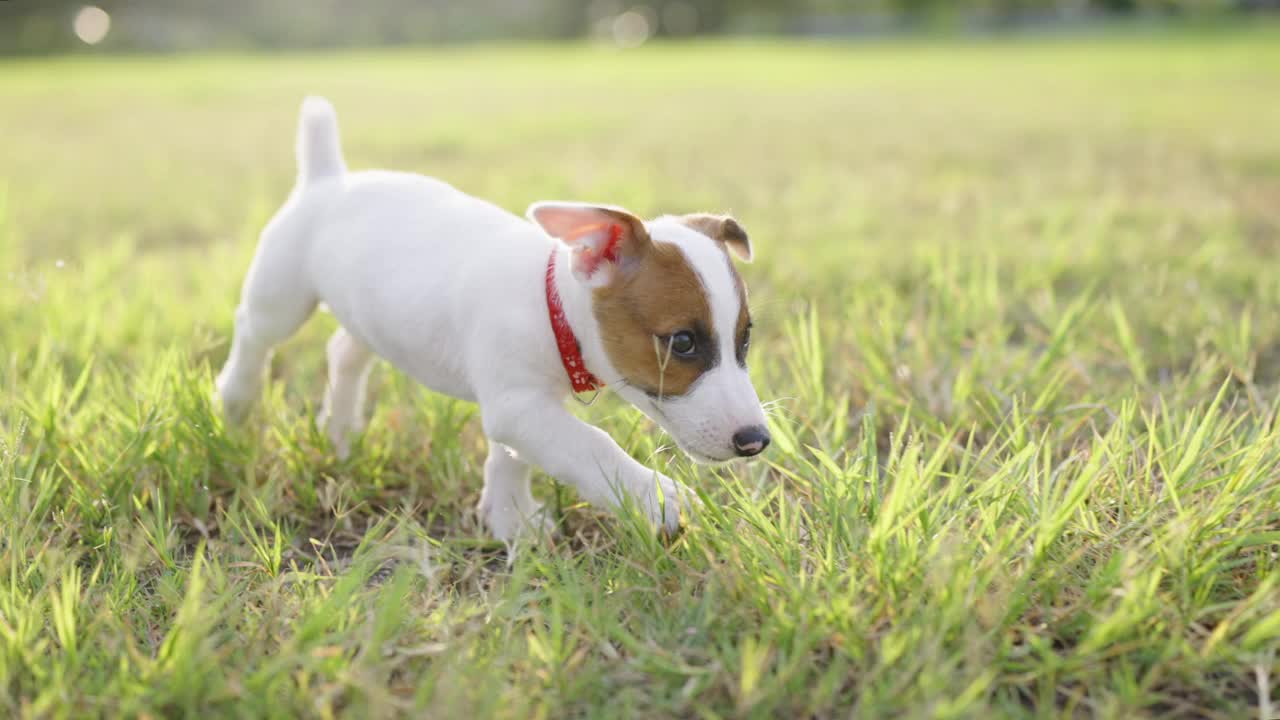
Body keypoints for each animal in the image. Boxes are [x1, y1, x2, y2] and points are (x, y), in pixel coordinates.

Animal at [217, 96, 768, 538]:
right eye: (682, 342)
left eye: (745, 337)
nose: (757, 441)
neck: (550, 305)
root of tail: (328, 178)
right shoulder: (520, 405)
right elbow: (590, 444)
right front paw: (656, 498)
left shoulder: (524, 408)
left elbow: (510, 457)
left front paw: (509, 517)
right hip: (280, 296)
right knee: (253, 334)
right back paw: (235, 400)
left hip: (368, 309)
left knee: (345, 350)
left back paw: (341, 430)